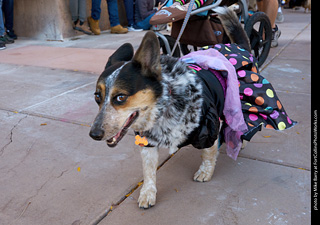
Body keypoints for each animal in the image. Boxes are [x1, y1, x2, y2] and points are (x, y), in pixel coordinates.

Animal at [89, 6, 296, 207]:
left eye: (120, 97)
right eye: (97, 96)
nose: (94, 134)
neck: (163, 108)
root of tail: (241, 47)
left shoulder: (209, 127)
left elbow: (208, 154)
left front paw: (205, 172)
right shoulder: (147, 142)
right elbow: (148, 171)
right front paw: (148, 193)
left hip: (239, 102)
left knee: (241, 124)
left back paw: (240, 140)